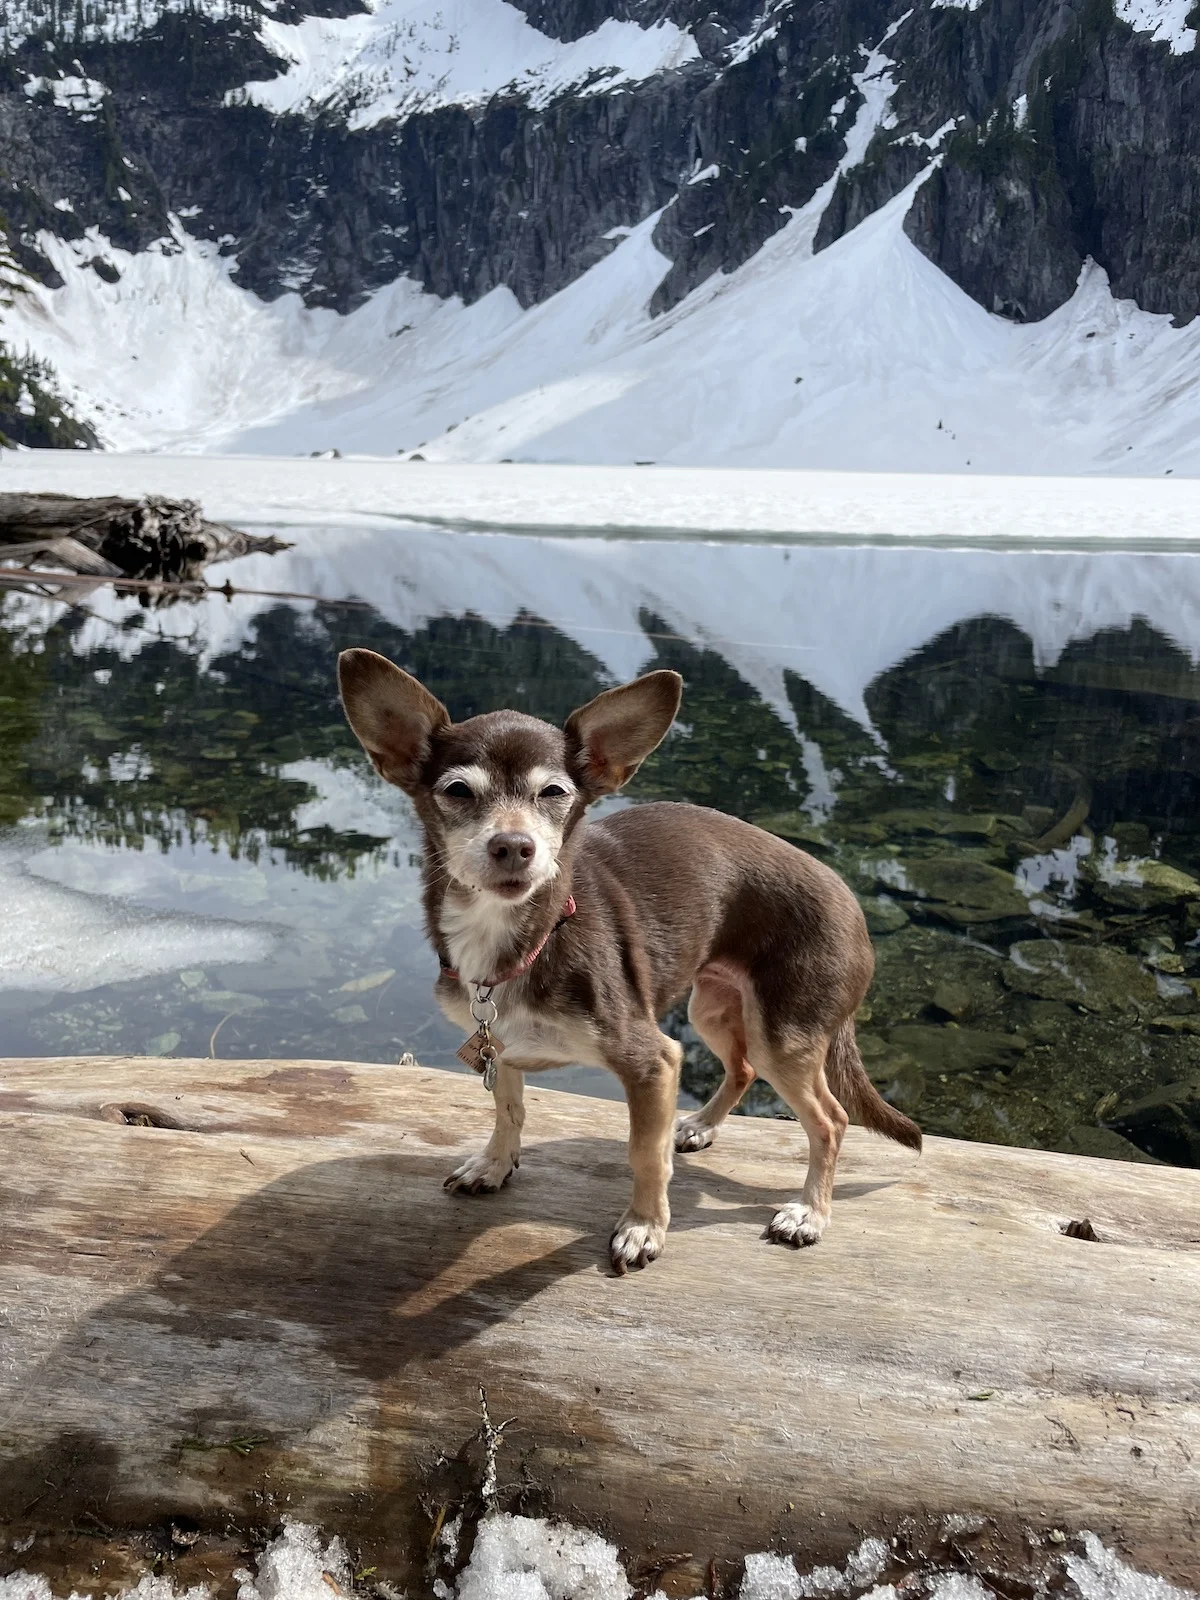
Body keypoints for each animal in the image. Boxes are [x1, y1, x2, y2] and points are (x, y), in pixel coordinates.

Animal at [339, 649, 921, 1273]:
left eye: (553, 793)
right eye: (457, 791)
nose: (514, 846)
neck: (526, 936)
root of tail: (850, 900)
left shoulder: (653, 1062)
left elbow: (644, 1154)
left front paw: (643, 1227)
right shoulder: (503, 1046)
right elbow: (509, 1111)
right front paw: (494, 1166)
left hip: (783, 1038)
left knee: (830, 1121)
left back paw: (809, 1213)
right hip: (711, 1010)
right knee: (742, 1068)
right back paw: (699, 1127)